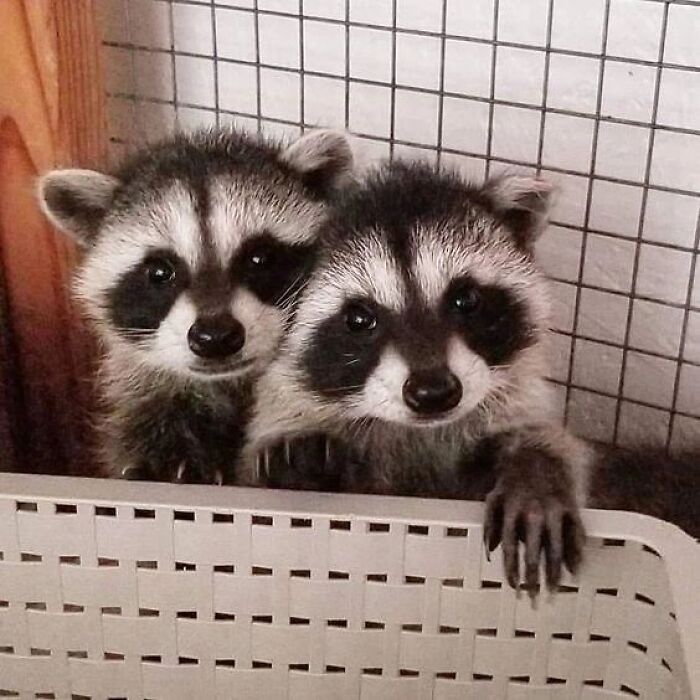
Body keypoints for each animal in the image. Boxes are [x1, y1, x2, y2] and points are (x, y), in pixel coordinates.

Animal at [242, 160, 592, 592]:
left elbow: (550, 440)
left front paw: (535, 470)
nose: (433, 391)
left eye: (466, 299)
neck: (417, 431)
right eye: (359, 319)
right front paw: (298, 469)